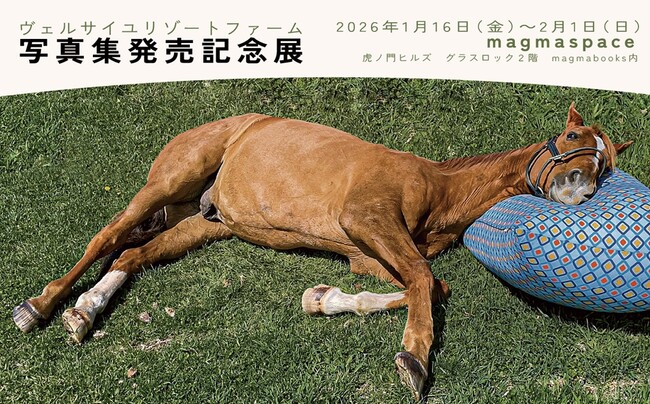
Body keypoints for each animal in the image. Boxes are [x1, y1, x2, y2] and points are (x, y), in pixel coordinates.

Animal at [13, 103, 631, 400]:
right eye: (573, 139)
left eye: (607, 164)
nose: (578, 188)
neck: (436, 187)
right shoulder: (368, 221)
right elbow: (424, 282)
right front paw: (414, 360)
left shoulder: (369, 252)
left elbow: (427, 284)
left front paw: (322, 298)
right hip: (168, 183)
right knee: (108, 237)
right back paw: (41, 307)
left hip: (203, 225)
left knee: (132, 255)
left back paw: (85, 311)